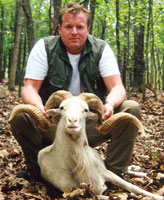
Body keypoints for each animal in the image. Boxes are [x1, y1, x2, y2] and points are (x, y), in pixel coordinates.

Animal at [9, 91, 164, 200]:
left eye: (85, 109)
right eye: (62, 107)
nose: (72, 121)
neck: (78, 167)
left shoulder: (108, 174)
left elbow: (134, 188)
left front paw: (158, 196)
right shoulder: (74, 190)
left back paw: (140, 171)